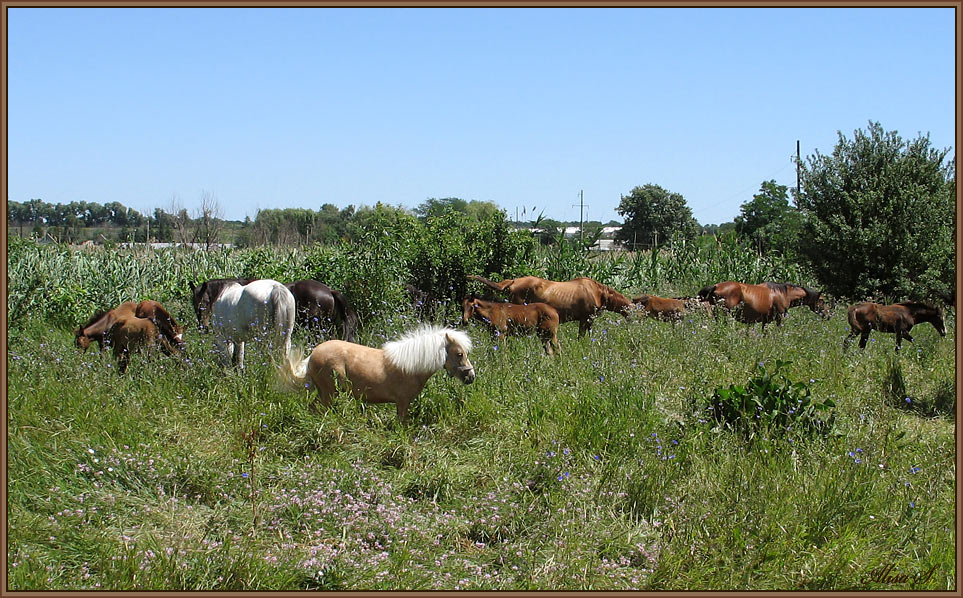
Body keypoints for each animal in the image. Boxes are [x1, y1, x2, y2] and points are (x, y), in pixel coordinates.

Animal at [278, 328, 474, 422]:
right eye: (459, 354)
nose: (471, 377)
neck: (409, 366)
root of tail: (312, 356)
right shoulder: (402, 403)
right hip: (329, 393)